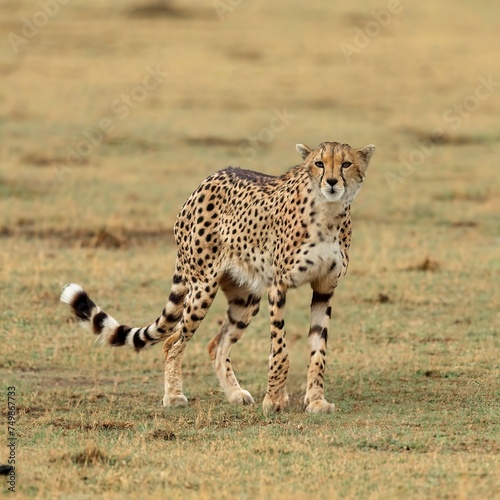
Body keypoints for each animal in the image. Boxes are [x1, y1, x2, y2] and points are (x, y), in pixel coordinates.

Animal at [60, 141, 376, 414]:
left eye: (346, 164)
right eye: (319, 163)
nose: (332, 182)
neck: (328, 213)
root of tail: (208, 179)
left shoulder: (325, 288)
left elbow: (318, 349)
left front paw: (316, 401)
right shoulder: (279, 285)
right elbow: (280, 348)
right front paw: (274, 400)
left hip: (246, 297)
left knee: (217, 344)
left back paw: (234, 393)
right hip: (203, 286)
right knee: (172, 341)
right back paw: (173, 396)